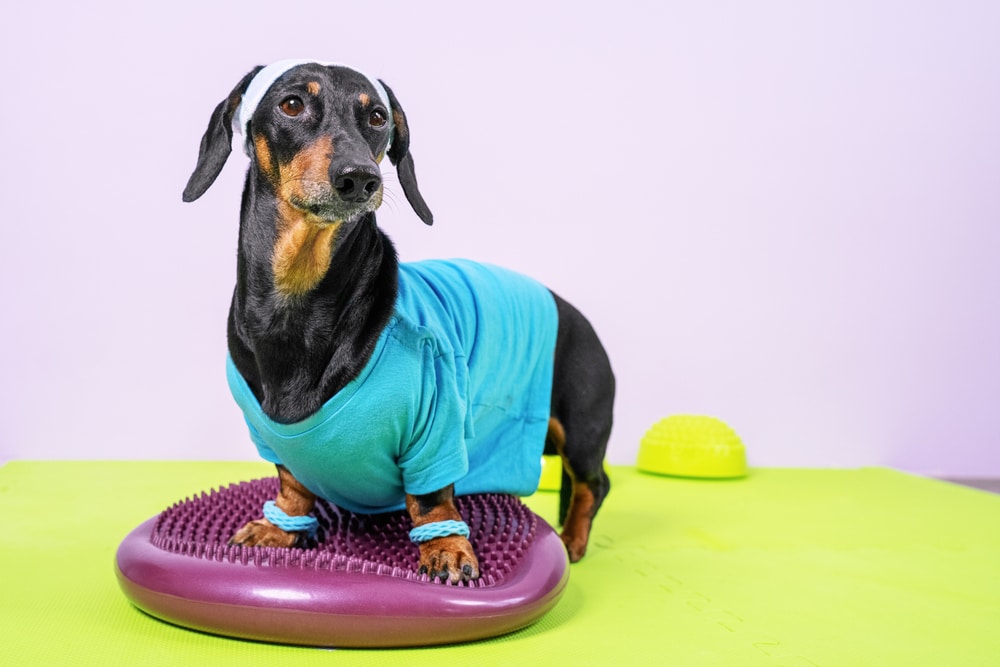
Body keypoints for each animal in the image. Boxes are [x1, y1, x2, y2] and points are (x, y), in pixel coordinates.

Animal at [184, 62, 612, 584]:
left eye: (377, 116)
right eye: (291, 104)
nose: (359, 178)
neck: (297, 299)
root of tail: (570, 310)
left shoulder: (437, 425)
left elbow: (430, 499)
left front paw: (446, 548)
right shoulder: (273, 441)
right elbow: (292, 484)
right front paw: (278, 527)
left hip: (582, 429)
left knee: (594, 483)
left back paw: (572, 538)